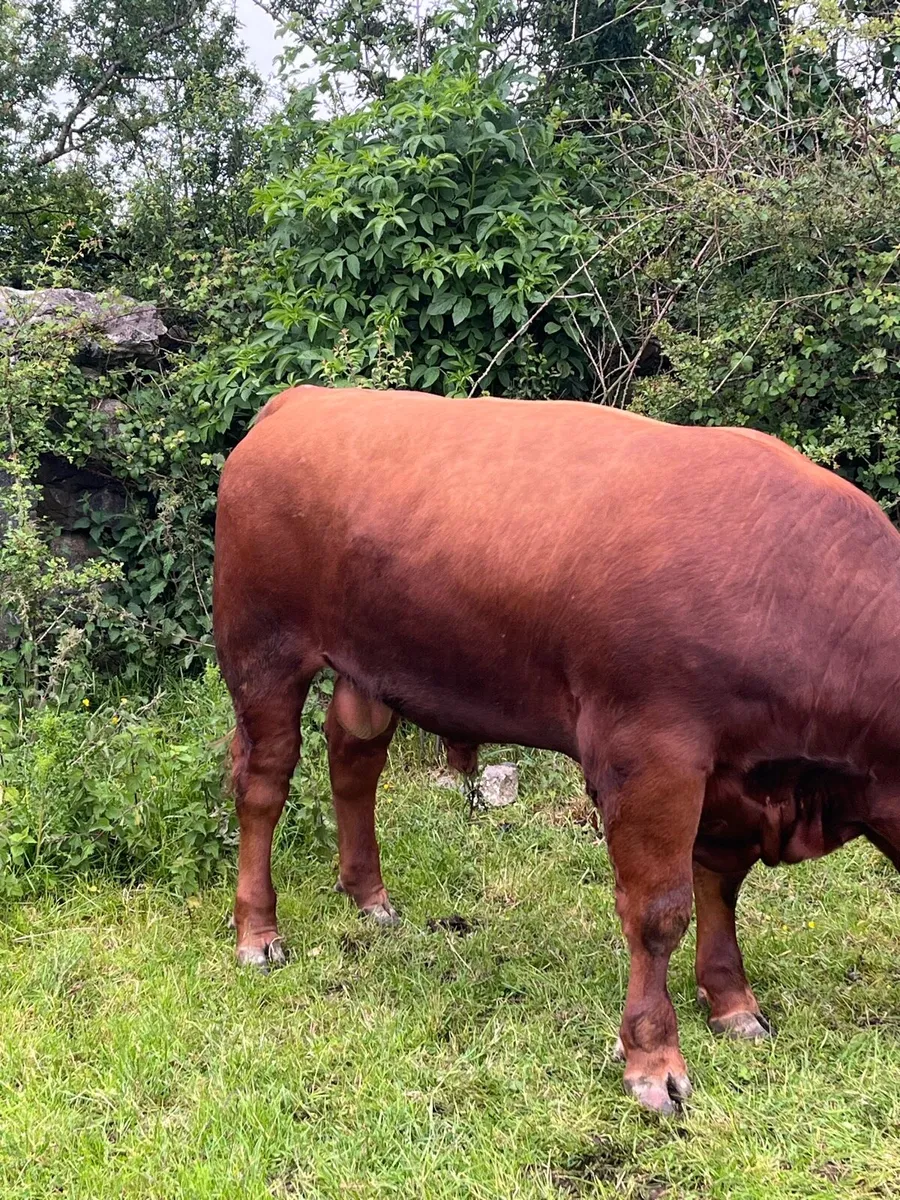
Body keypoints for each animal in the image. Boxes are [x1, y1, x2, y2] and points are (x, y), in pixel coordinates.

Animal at [212, 384, 900, 1115]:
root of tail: (303, 399)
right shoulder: (651, 759)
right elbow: (659, 912)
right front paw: (654, 1060)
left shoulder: (733, 778)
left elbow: (719, 886)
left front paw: (732, 1002)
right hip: (262, 652)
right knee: (263, 783)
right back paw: (258, 933)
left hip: (369, 665)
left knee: (354, 759)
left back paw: (370, 898)